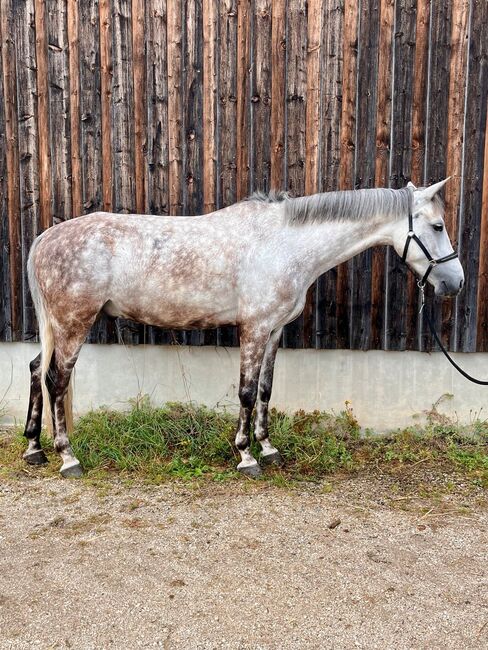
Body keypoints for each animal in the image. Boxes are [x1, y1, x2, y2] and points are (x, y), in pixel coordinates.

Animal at [23, 177, 466, 476]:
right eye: (438, 226)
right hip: (73, 323)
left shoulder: (274, 331)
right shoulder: (253, 328)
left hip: (57, 327)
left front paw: (268, 448)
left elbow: (266, 391)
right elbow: (247, 392)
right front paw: (246, 454)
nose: (455, 282)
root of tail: (45, 238)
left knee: (35, 369)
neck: (284, 244)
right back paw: (67, 457)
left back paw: (33, 448)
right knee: (57, 379)